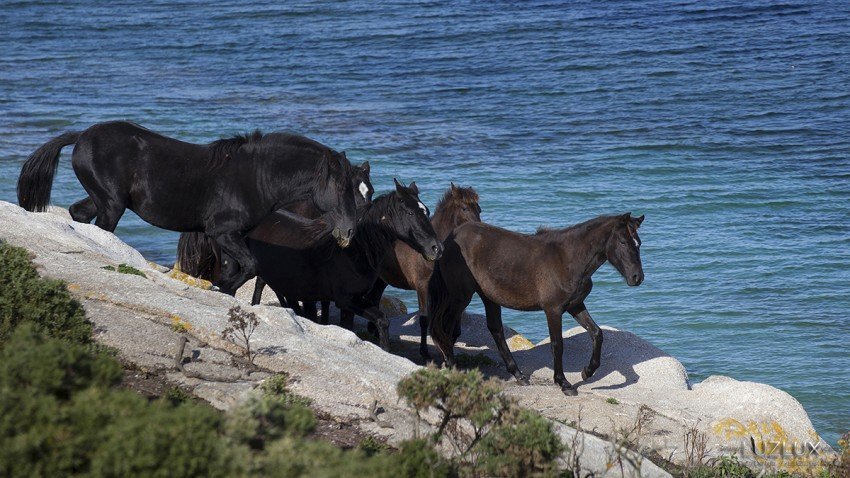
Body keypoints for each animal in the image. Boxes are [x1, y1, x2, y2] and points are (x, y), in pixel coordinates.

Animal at [17, 121, 354, 294]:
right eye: (340, 187)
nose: (349, 231)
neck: (257, 177)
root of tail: (82, 135)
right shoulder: (222, 232)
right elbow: (250, 267)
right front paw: (219, 288)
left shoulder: (231, 237)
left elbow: (238, 269)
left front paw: (222, 290)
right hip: (111, 205)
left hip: (104, 200)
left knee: (78, 213)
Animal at [362, 183, 480, 358]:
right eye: (465, 208)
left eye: (479, 209)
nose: (479, 226)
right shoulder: (422, 286)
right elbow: (425, 320)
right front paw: (425, 352)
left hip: (381, 279)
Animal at [430, 213, 644, 396]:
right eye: (623, 242)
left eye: (638, 243)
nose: (637, 277)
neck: (567, 259)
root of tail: (449, 239)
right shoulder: (553, 310)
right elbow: (557, 344)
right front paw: (563, 383)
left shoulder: (575, 305)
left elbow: (597, 334)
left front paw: (587, 372)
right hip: (460, 297)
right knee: (446, 328)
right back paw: (452, 367)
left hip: (488, 297)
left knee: (495, 329)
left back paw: (518, 375)